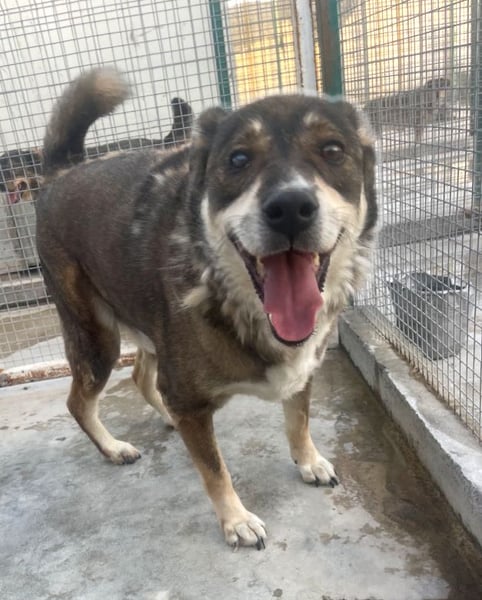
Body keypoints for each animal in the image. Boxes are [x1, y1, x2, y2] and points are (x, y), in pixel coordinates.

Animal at [36, 67, 377, 549]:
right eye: (238, 159)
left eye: (332, 151)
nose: (291, 207)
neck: (243, 304)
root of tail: (60, 173)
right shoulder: (187, 392)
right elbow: (215, 470)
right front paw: (236, 520)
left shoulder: (304, 368)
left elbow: (299, 419)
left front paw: (308, 460)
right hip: (96, 337)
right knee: (80, 402)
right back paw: (114, 447)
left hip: (149, 325)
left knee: (142, 377)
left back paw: (166, 419)